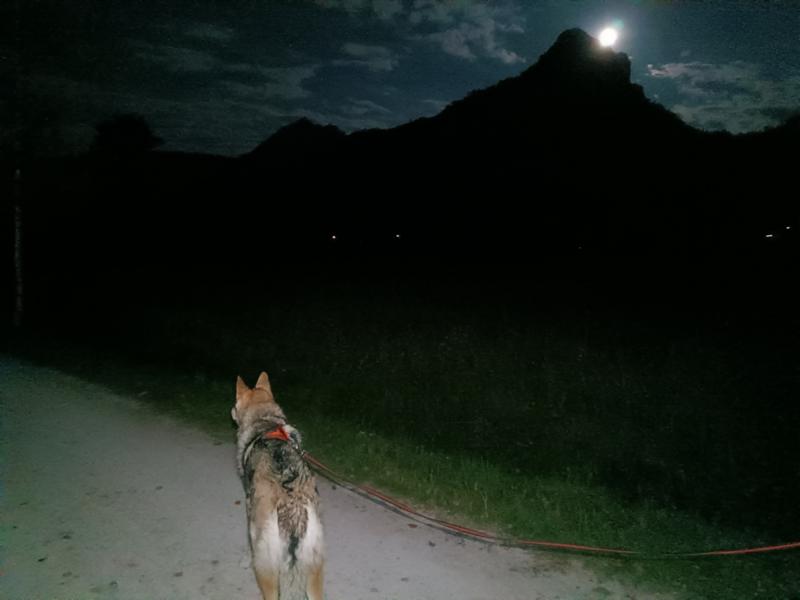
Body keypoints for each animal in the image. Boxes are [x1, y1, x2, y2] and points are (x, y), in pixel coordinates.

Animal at [231, 372, 324, 600]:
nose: (231, 412)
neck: (266, 424)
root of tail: (293, 513)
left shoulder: (250, 517)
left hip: (268, 571)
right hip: (314, 572)